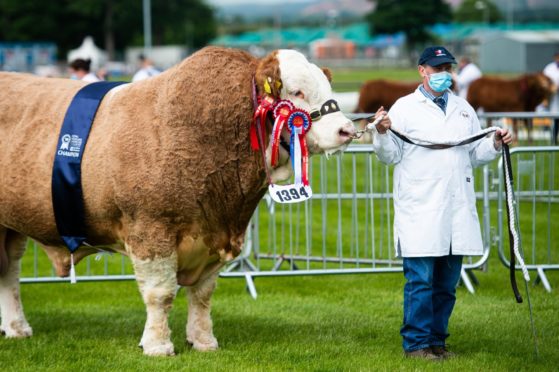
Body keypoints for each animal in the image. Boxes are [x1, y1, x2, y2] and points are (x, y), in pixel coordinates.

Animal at [0, 45, 356, 354]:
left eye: (327, 87)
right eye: (296, 92)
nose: (347, 130)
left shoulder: (214, 234)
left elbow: (202, 295)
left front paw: (203, 341)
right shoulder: (150, 229)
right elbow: (160, 294)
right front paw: (158, 345)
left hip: (11, 228)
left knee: (10, 272)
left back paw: (16, 327)